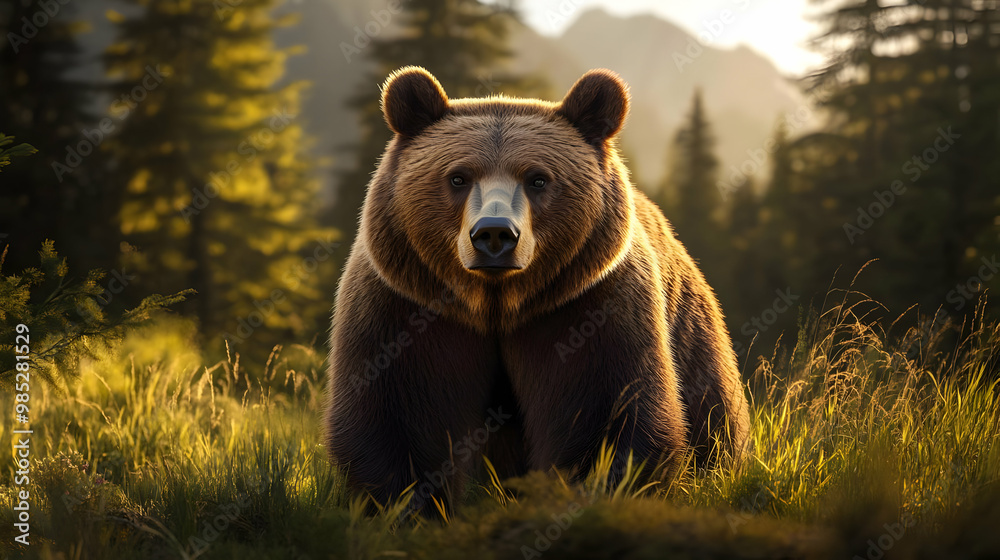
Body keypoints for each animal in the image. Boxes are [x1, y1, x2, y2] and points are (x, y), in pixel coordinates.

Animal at [324, 66, 750, 514]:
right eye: (458, 177)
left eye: (538, 179)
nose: (494, 234)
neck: (496, 303)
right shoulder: (405, 304)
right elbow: (397, 412)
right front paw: (409, 505)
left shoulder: (587, 304)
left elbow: (604, 408)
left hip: (691, 335)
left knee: (713, 415)